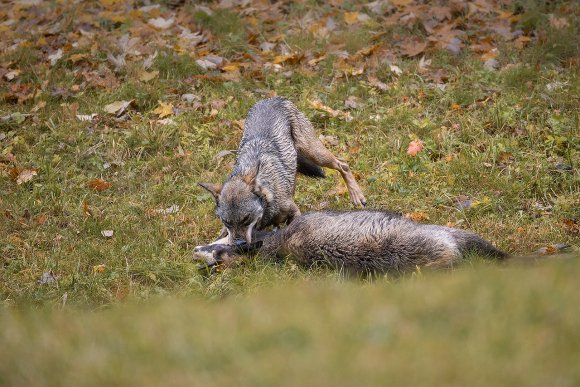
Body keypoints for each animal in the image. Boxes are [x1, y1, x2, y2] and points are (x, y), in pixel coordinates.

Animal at [197, 98, 364, 242]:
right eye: (227, 222)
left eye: (246, 218)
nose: (239, 243)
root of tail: (274, 98)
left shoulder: (294, 212)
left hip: (315, 154)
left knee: (343, 164)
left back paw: (357, 196)